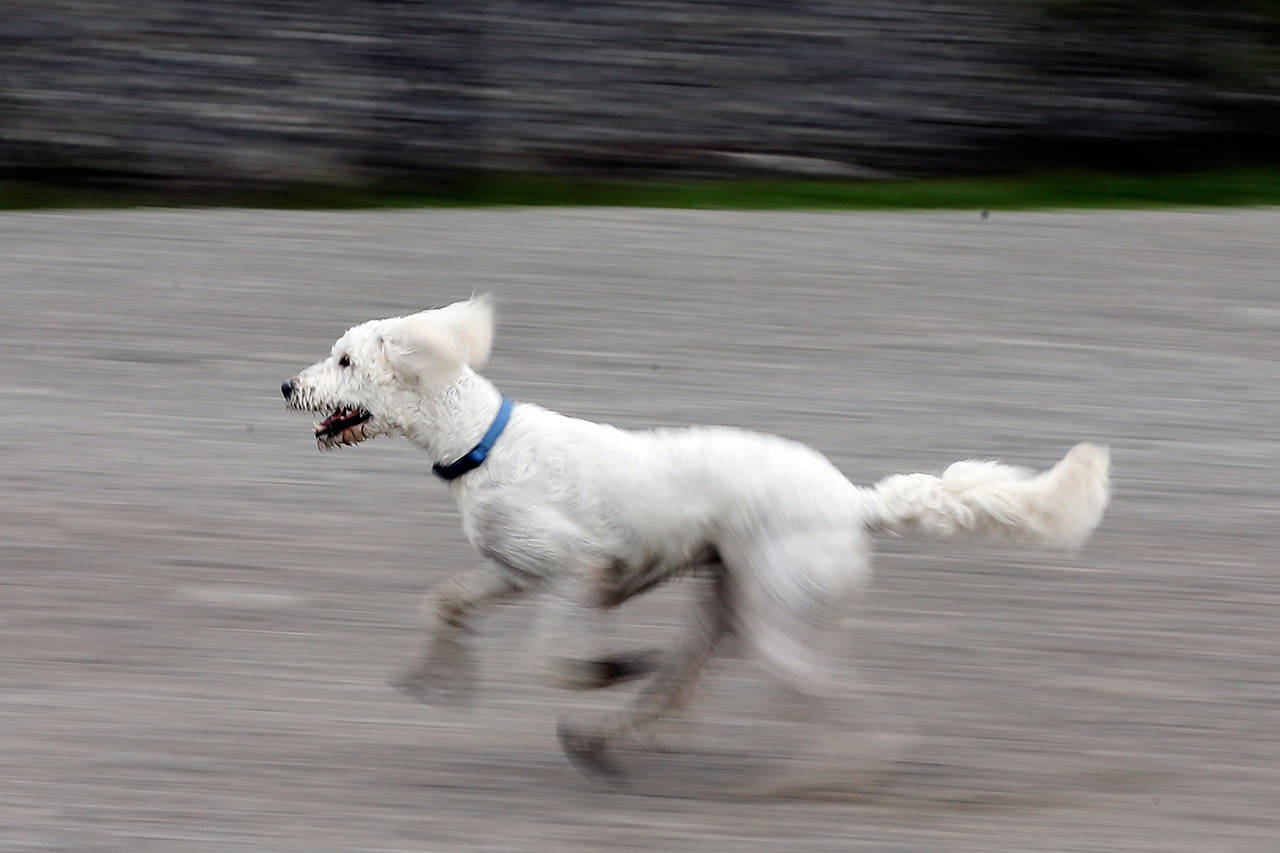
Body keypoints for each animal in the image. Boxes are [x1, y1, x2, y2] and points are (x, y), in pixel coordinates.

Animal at [282, 295, 1111, 773]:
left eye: (346, 358)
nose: (288, 385)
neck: (481, 440)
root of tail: (853, 502)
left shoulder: (578, 568)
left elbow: (543, 656)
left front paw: (600, 667)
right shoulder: (513, 569)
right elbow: (445, 601)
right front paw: (438, 677)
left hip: (778, 615)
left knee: (838, 704)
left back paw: (827, 771)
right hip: (729, 604)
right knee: (682, 685)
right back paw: (605, 742)